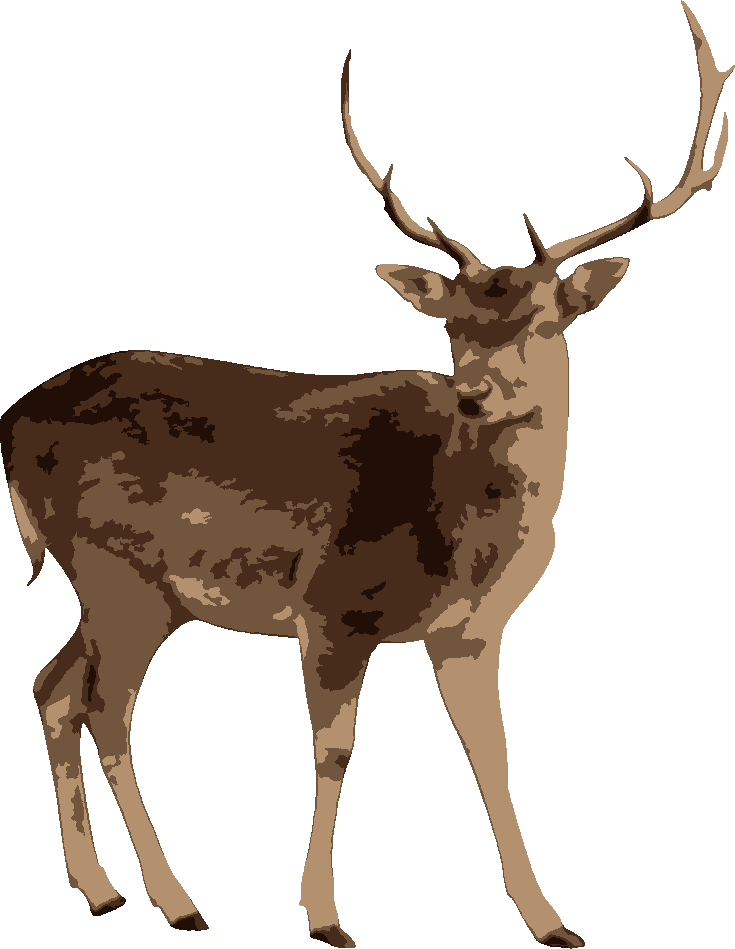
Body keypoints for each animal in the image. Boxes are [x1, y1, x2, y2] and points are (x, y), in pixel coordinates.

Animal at [2, 3, 731, 946]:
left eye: (544, 317)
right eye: (450, 323)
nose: (473, 393)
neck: (461, 534)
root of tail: (8, 422)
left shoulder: (471, 630)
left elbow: (494, 755)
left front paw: (549, 918)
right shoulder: (331, 607)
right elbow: (335, 752)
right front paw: (322, 914)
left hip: (135, 593)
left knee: (53, 687)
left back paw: (101, 888)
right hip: (112, 570)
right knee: (105, 709)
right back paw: (177, 898)